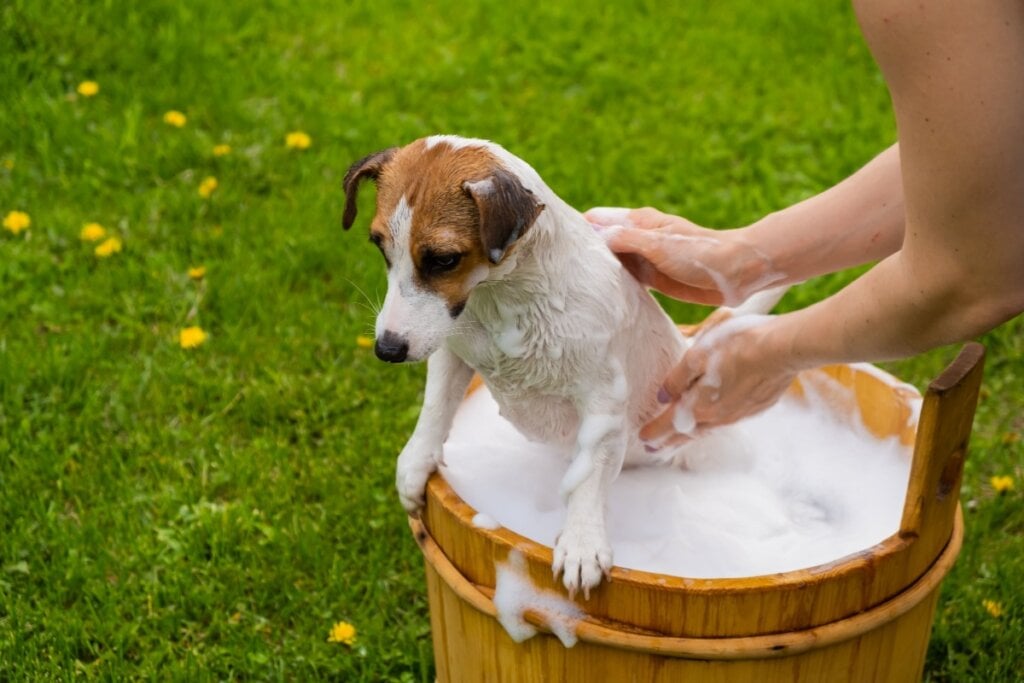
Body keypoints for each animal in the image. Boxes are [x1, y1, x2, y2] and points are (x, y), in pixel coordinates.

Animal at [344, 136, 688, 593]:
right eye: (381, 247)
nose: (387, 349)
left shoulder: (603, 396)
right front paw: (415, 462)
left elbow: (590, 473)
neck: (502, 299)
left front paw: (581, 540)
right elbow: (435, 408)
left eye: (443, 259)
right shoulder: (451, 351)